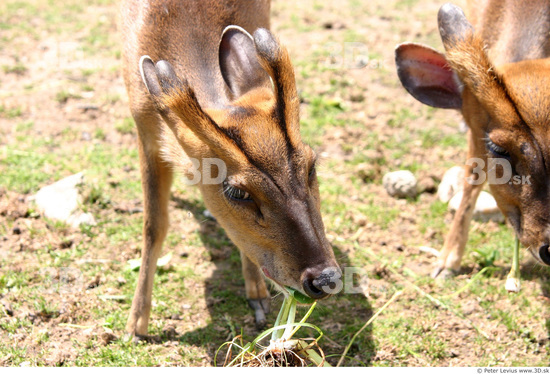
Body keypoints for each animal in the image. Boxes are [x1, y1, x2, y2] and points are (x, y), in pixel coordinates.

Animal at [122, 0, 340, 336]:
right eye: (236, 191)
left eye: (311, 166)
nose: (325, 278)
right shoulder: (144, 131)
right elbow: (153, 226)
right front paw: (136, 324)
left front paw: (258, 297)